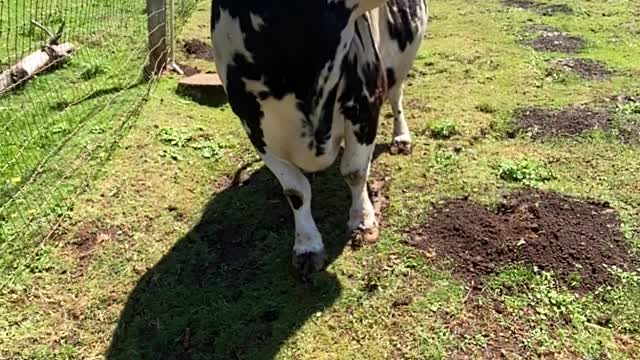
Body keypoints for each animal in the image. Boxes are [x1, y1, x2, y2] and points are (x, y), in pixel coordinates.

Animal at [212, 0, 428, 276]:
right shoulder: (253, 126)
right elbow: (296, 190)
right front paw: (307, 246)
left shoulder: (365, 101)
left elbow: (355, 172)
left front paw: (362, 220)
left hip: (399, 61)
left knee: (396, 96)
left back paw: (401, 139)